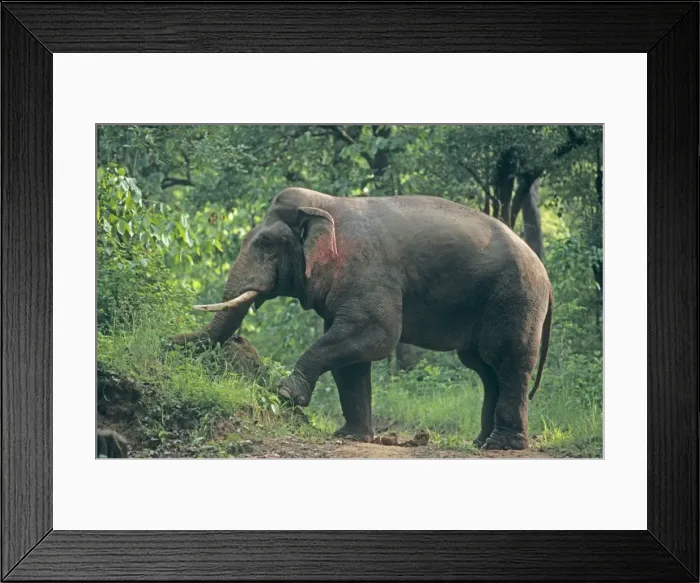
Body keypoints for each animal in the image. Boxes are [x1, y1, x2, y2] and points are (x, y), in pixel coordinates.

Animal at [171, 187, 553, 450]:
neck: (325, 204)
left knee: (506, 360)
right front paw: (351, 435)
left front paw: (284, 393)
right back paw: (480, 442)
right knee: (484, 368)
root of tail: (546, 277)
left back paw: (502, 445)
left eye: (266, 243)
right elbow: (351, 359)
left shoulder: (368, 272)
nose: (168, 341)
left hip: (515, 297)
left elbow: (376, 335)